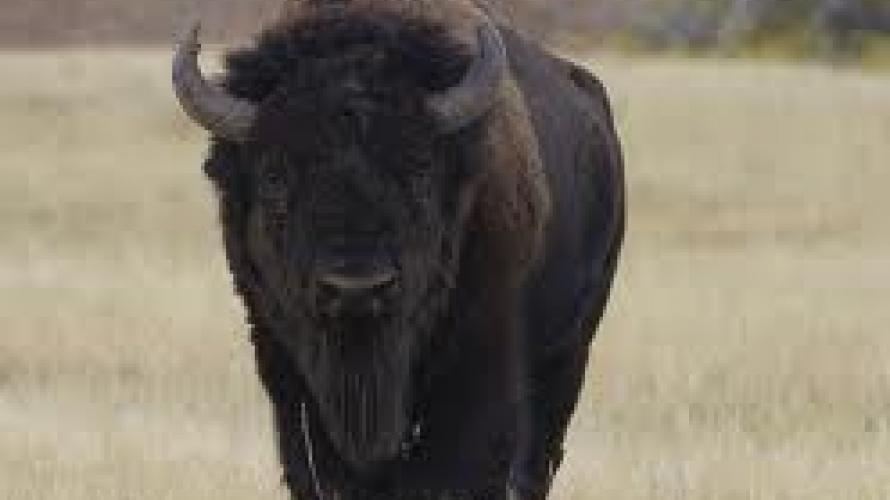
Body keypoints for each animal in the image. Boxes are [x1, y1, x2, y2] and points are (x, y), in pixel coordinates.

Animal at [172, 0, 624, 498]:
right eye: (274, 175)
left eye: (419, 169)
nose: (355, 287)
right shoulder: (288, 373)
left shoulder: (477, 370)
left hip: (568, 354)